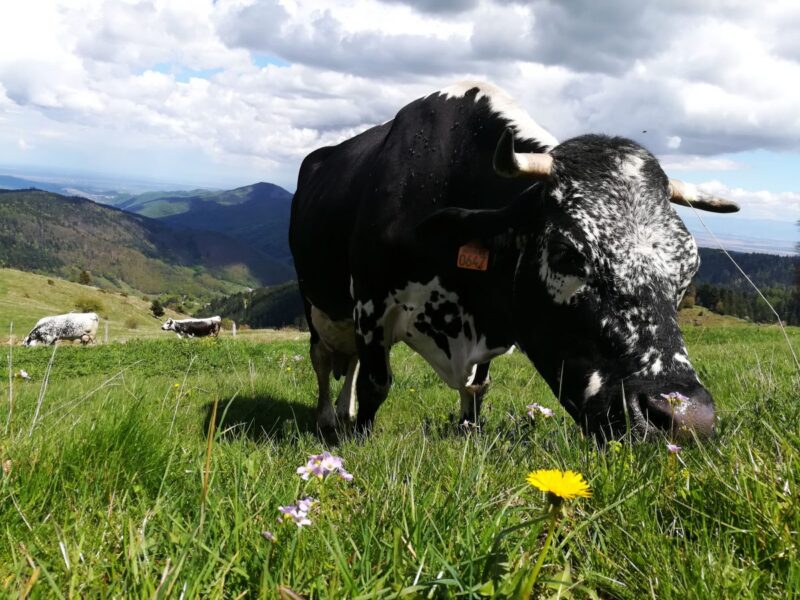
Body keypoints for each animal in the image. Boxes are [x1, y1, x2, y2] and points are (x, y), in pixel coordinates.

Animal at [289, 81, 740, 443]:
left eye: (689, 269)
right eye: (565, 253)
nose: (685, 418)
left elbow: (476, 388)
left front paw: (468, 432)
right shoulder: (370, 304)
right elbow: (376, 383)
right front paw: (360, 440)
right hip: (313, 304)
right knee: (324, 360)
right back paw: (329, 419)